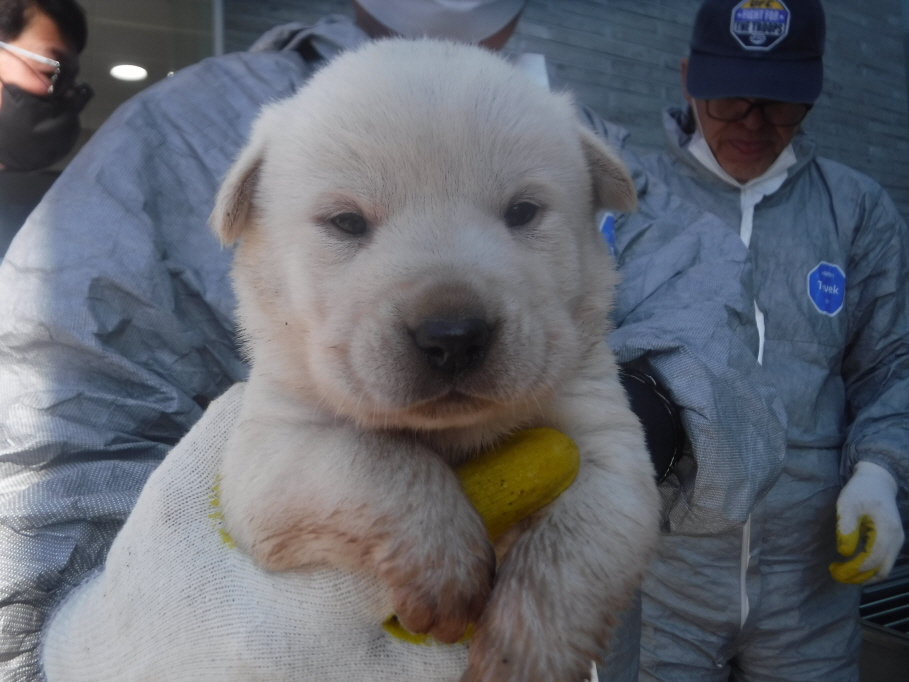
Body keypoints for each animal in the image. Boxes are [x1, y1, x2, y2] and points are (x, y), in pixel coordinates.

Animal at [209, 38, 656, 680]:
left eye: (522, 212)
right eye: (346, 222)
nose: (453, 337)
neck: (453, 431)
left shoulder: (605, 443)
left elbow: (571, 553)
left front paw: (520, 658)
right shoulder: (270, 451)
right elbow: (370, 455)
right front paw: (444, 565)